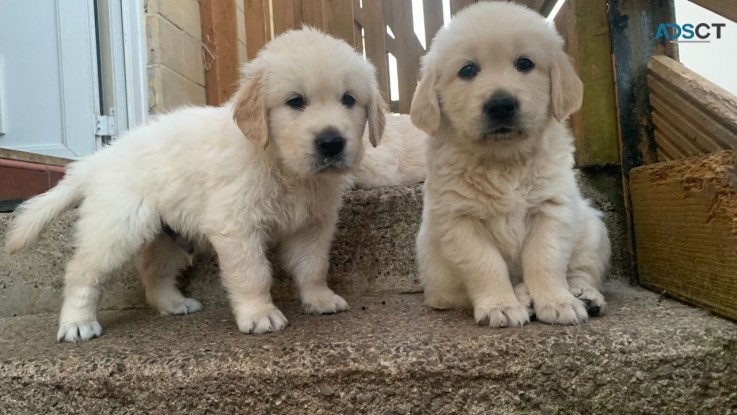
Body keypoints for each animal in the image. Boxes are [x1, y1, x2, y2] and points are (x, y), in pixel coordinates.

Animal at [5, 28, 386, 342]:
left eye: (349, 100)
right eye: (295, 101)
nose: (331, 143)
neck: (283, 165)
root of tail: (98, 159)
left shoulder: (313, 224)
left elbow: (313, 265)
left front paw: (320, 298)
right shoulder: (236, 225)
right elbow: (252, 273)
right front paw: (259, 314)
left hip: (171, 233)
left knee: (153, 271)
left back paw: (173, 304)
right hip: (118, 225)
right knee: (82, 271)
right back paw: (77, 323)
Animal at [414, 2, 608, 328]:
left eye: (525, 63)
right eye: (468, 70)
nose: (501, 105)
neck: (504, 160)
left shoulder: (551, 209)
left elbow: (545, 259)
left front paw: (558, 302)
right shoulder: (459, 220)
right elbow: (486, 263)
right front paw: (500, 305)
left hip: (592, 229)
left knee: (582, 270)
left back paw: (584, 295)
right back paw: (521, 295)